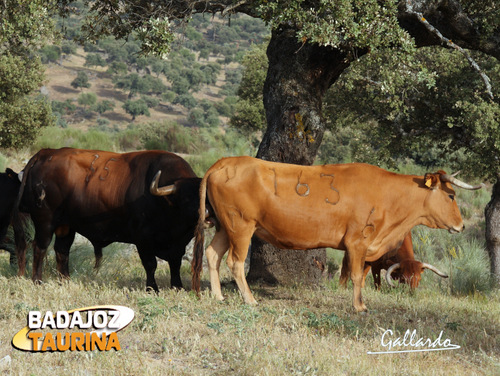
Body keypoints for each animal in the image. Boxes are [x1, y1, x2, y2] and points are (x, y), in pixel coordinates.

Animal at [14, 148, 201, 290]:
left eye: (204, 197)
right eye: (186, 199)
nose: (204, 214)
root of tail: (47, 152)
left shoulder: (178, 245)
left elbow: (175, 264)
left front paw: (177, 286)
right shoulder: (143, 240)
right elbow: (150, 264)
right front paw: (152, 288)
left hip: (66, 226)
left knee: (62, 250)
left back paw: (65, 280)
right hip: (45, 221)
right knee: (40, 248)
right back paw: (37, 281)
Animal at [192, 156, 484, 312]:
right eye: (451, 195)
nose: (461, 225)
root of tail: (225, 162)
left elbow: (358, 277)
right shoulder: (358, 243)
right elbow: (355, 277)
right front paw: (359, 306)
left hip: (224, 226)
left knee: (212, 255)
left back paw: (218, 295)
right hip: (241, 226)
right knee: (235, 262)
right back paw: (250, 299)